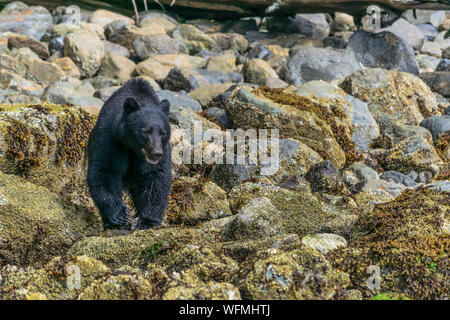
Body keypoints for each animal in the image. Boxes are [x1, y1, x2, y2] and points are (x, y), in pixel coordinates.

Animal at [87, 79, 171, 230]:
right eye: (146, 131)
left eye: (163, 133)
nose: (156, 153)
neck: (132, 147)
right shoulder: (111, 138)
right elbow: (105, 169)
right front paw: (120, 215)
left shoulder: (164, 149)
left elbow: (156, 177)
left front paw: (147, 220)